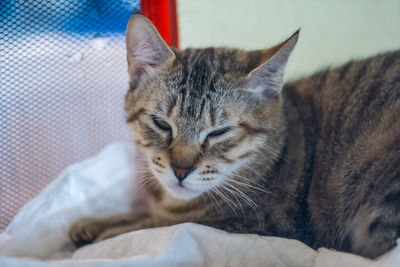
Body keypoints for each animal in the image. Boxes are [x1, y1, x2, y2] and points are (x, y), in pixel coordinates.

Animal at [70, 13, 400, 260]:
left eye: (218, 132)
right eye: (162, 124)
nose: (180, 170)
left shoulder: (261, 225)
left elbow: (162, 224)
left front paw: (108, 232)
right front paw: (94, 222)